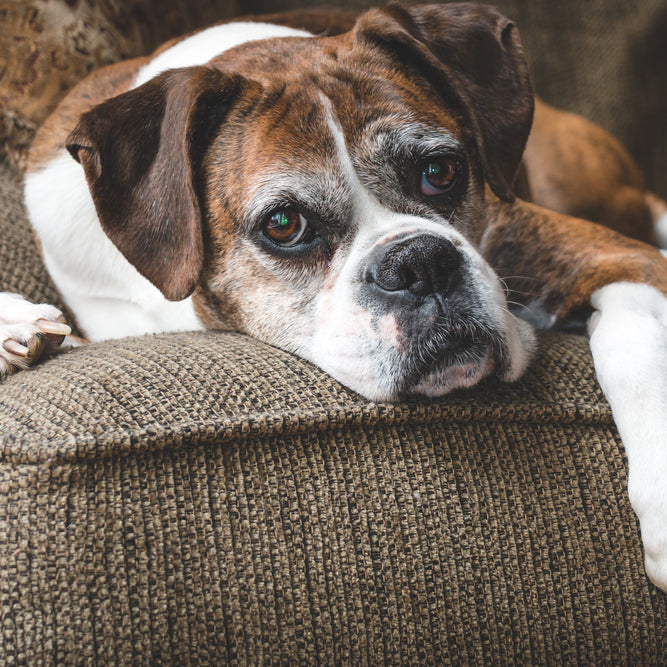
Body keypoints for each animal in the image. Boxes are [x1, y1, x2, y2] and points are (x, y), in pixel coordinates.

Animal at [1, 3, 667, 588]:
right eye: (283, 224)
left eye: (441, 171)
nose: (419, 263)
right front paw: (19, 326)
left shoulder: (623, 258)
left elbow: (636, 350)